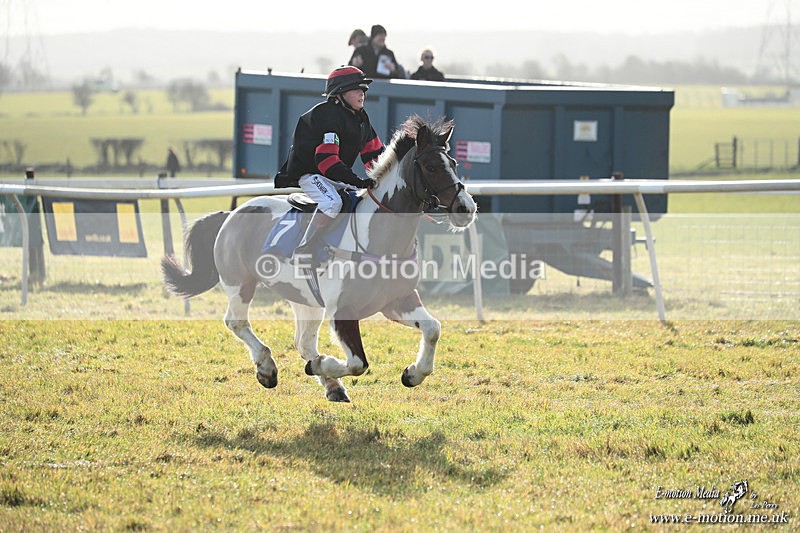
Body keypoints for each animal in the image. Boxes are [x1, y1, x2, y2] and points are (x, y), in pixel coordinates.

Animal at [161, 115, 478, 402]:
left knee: (302, 341)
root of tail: (231, 214)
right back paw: (267, 367)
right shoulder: (343, 311)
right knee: (236, 322)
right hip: (240, 283)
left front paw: (413, 373)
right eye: (432, 166)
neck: (378, 240)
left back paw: (333, 386)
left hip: (305, 299)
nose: (466, 208)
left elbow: (433, 328)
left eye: (454, 164)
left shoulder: (397, 301)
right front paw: (321, 365)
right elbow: (357, 363)